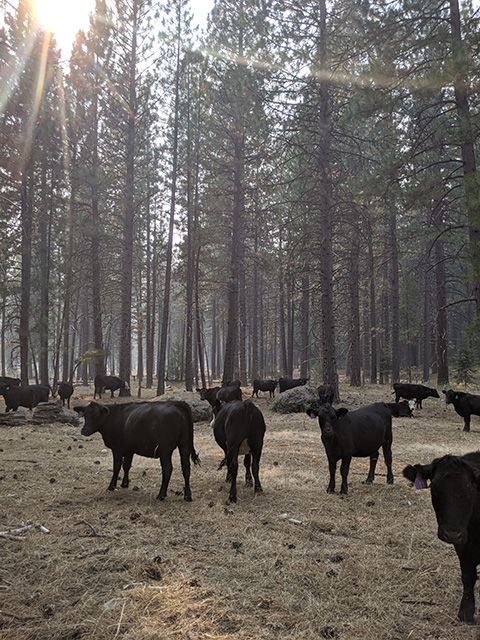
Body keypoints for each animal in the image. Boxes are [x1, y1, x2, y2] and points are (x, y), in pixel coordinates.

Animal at [403, 452, 480, 624]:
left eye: (470, 490)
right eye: (434, 489)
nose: (452, 534)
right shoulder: (464, 546)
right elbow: (468, 576)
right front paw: (466, 613)